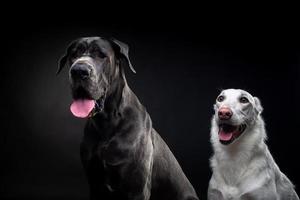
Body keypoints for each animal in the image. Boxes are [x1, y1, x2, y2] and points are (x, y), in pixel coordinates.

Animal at [58, 36, 199, 199]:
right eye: (74, 55)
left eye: (101, 55)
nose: (79, 70)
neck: (107, 122)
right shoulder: (95, 185)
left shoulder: (137, 188)